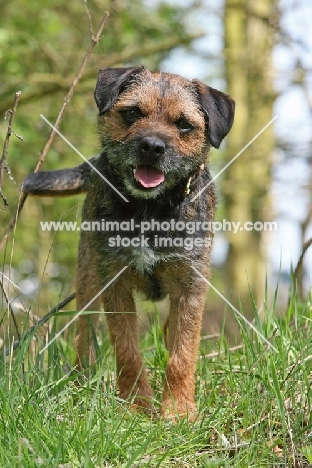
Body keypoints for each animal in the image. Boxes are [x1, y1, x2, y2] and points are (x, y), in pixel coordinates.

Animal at [23, 65, 234, 416]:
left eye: (184, 125)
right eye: (132, 113)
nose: (152, 146)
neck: (150, 210)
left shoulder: (190, 286)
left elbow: (182, 353)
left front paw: (178, 411)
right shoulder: (115, 282)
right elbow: (127, 350)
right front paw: (136, 406)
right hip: (88, 282)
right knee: (85, 339)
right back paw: (81, 383)